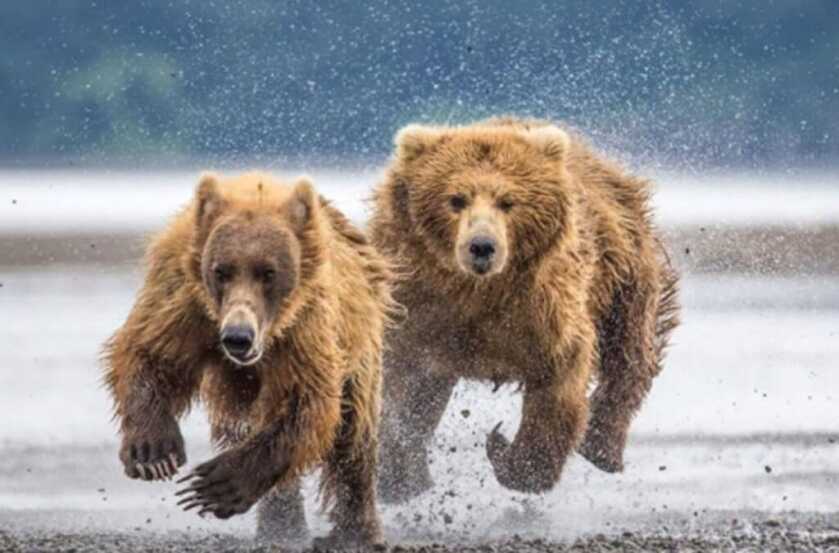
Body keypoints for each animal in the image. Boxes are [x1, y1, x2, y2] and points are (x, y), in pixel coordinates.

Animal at [102, 171, 396, 547]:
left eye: (268, 272)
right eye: (221, 271)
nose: (238, 337)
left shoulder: (304, 327)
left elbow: (306, 402)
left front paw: (216, 486)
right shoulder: (182, 302)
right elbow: (150, 354)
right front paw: (153, 453)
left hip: (360, 343)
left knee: (352, 433)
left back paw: (355, 532)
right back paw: (282, 523)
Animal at [369, 117, 679, 501]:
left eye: (508, 201)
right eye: (456, 199)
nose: (482, 246)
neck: (478, 293)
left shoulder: (545, 311)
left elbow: (559, 384)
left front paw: (512, 456)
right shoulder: (418, 307)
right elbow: (400, 388)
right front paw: (401, 477)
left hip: (623, 272)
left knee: (630, 354)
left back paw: (602, 447)